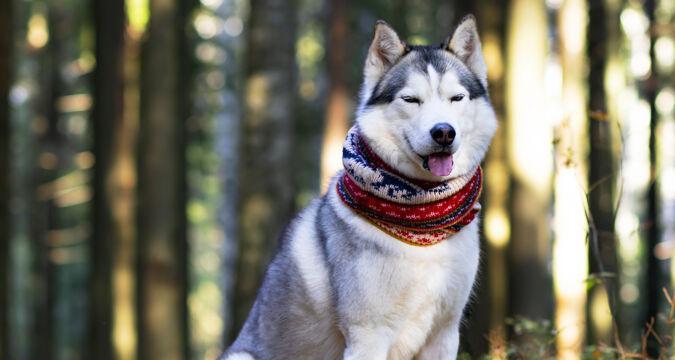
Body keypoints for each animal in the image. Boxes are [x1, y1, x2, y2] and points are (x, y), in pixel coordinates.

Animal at [222, 14, 496, 360]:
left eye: (456, 98)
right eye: (411, 100)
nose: (444, 132)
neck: (422, 222)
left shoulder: (445, 333)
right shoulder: (368, 334)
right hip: (241, 354)